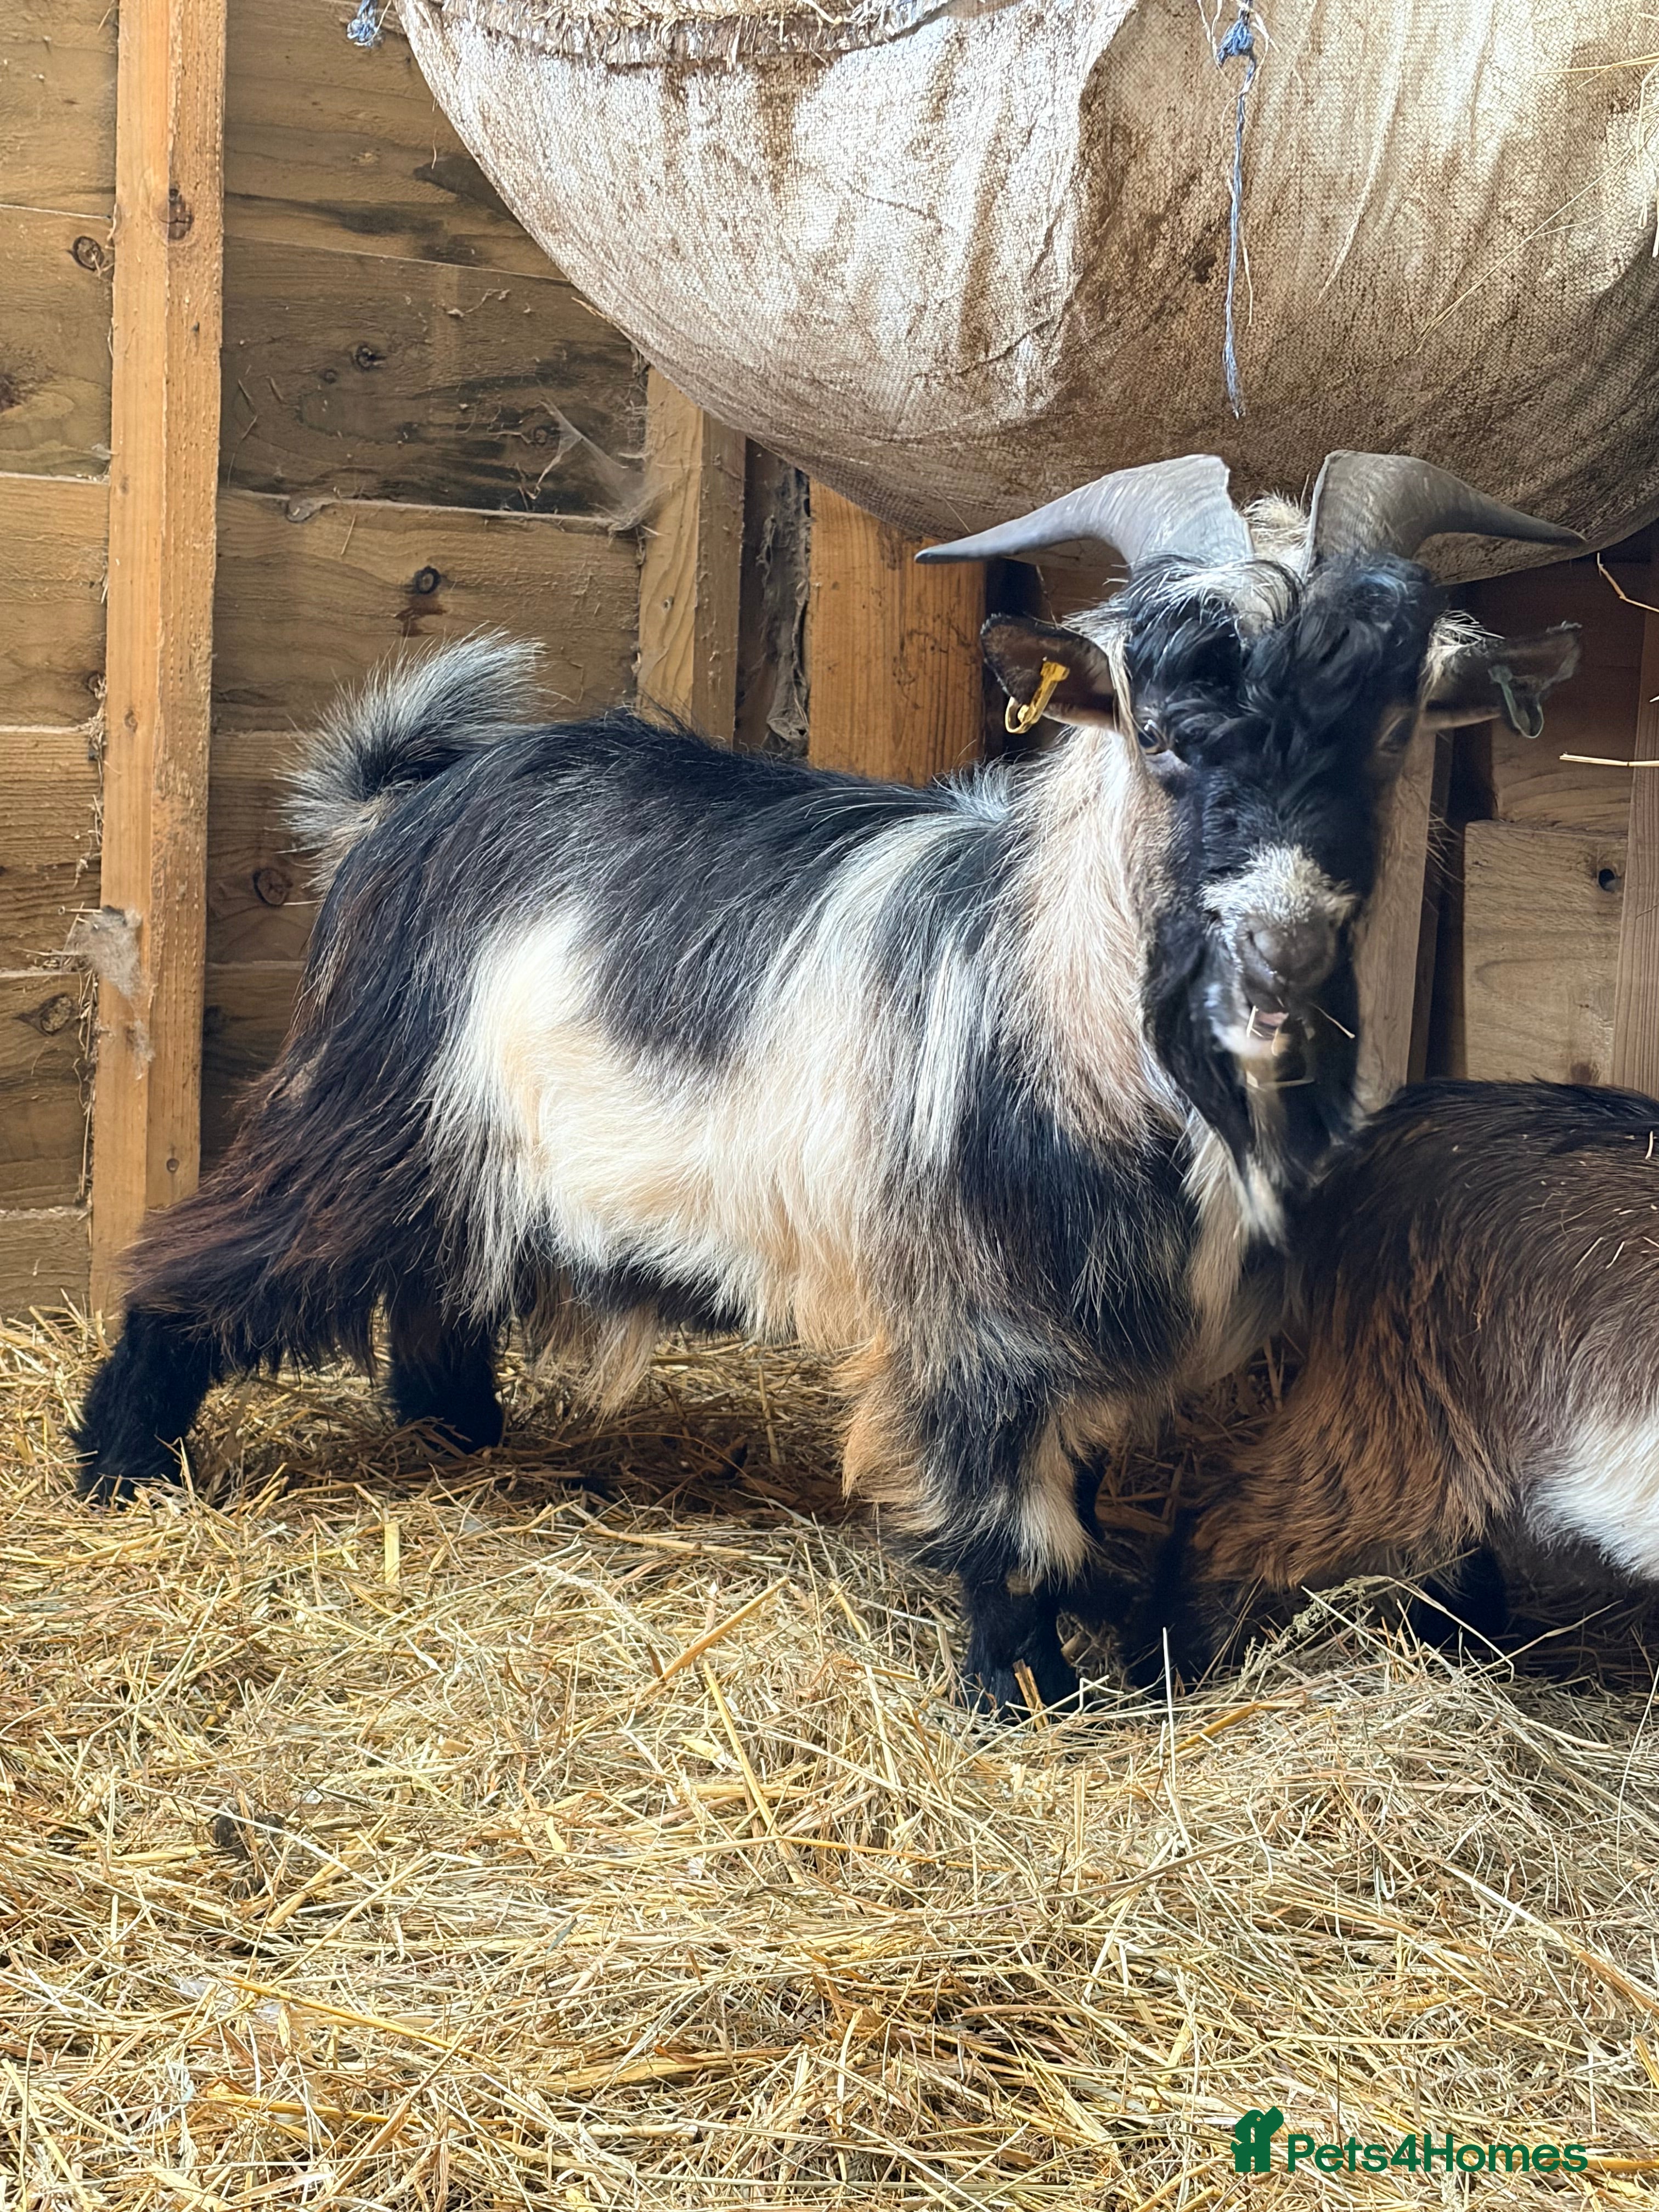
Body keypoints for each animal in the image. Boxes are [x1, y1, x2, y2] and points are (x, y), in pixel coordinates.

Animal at [73, 453, 1578, 1713]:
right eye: (1161, 735)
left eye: (1388, 734)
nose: (1282, 940)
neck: (1057, 998)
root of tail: (399, 807)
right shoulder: (979, 1321)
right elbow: (1011, 1524)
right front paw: (1028, 1697)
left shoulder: (1091, 1328)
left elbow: (1078, 1484)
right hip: (374, 1109)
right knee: (207, 1261)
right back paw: (117, 1467)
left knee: (441, 1295)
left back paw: (461, 1436)